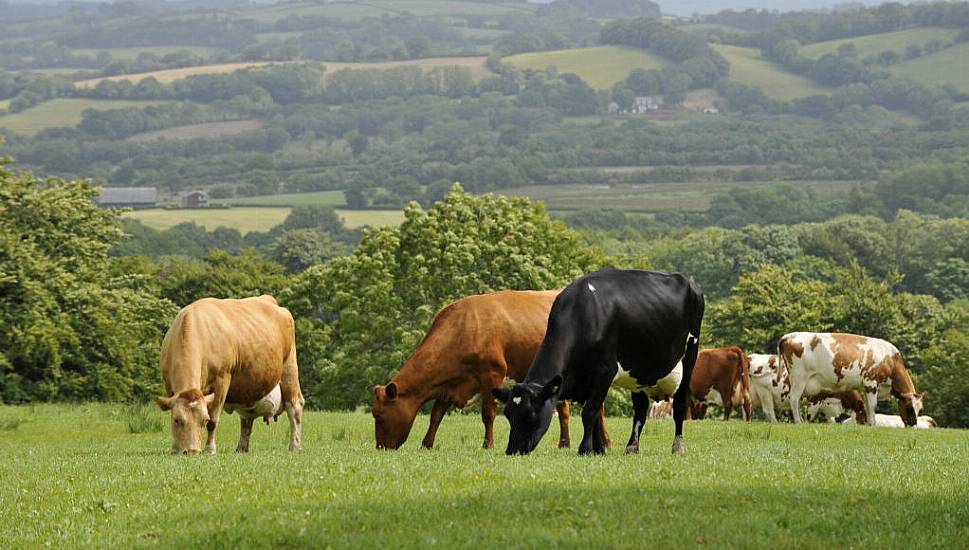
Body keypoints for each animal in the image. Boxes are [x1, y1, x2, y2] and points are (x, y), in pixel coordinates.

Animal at [155, 298, 302, 458]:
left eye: (204, 420)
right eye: (177, 420)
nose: (192, 451)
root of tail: (270, 300)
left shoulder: (222, 379)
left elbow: (214, 420)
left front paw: (210, 449)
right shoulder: (169, 385)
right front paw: (175, 448)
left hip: (289, 368)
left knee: (295, 408)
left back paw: (295, 446)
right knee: (246, 419)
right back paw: (241, 448)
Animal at [370, 292, 604, 450]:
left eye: (378, 414)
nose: (380, 447)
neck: (463, 329)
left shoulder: (493, 374)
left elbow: (488, 413)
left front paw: (488, 444)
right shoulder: (449, 383)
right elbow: (436, 415)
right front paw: (426, 444)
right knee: (565, 410)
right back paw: (565, 443)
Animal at [492, 268, 704, 458]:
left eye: (530, 415)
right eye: (509, 414)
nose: (512, 450)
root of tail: (690, 283)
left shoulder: (605, 371)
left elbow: (589, 412)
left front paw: (585, 449)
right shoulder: (586, 379)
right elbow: (593, 416)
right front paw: (598, 449)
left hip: (689, 357)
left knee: (679, 405)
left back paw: (677, 447)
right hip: (639, 374)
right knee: (640, 410)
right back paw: (631, 447)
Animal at [780, 334, 924, 430]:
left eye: (920, 409)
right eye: (909, 408)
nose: (913, 426)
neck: (890, 360)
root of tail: (789, 336)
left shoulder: (865, 386)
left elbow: (867, 406)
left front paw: (869, 424)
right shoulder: (871, 382)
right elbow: (873, 405)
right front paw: (873, 425)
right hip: (799, 378)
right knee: (794, 399)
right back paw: (798, 422)